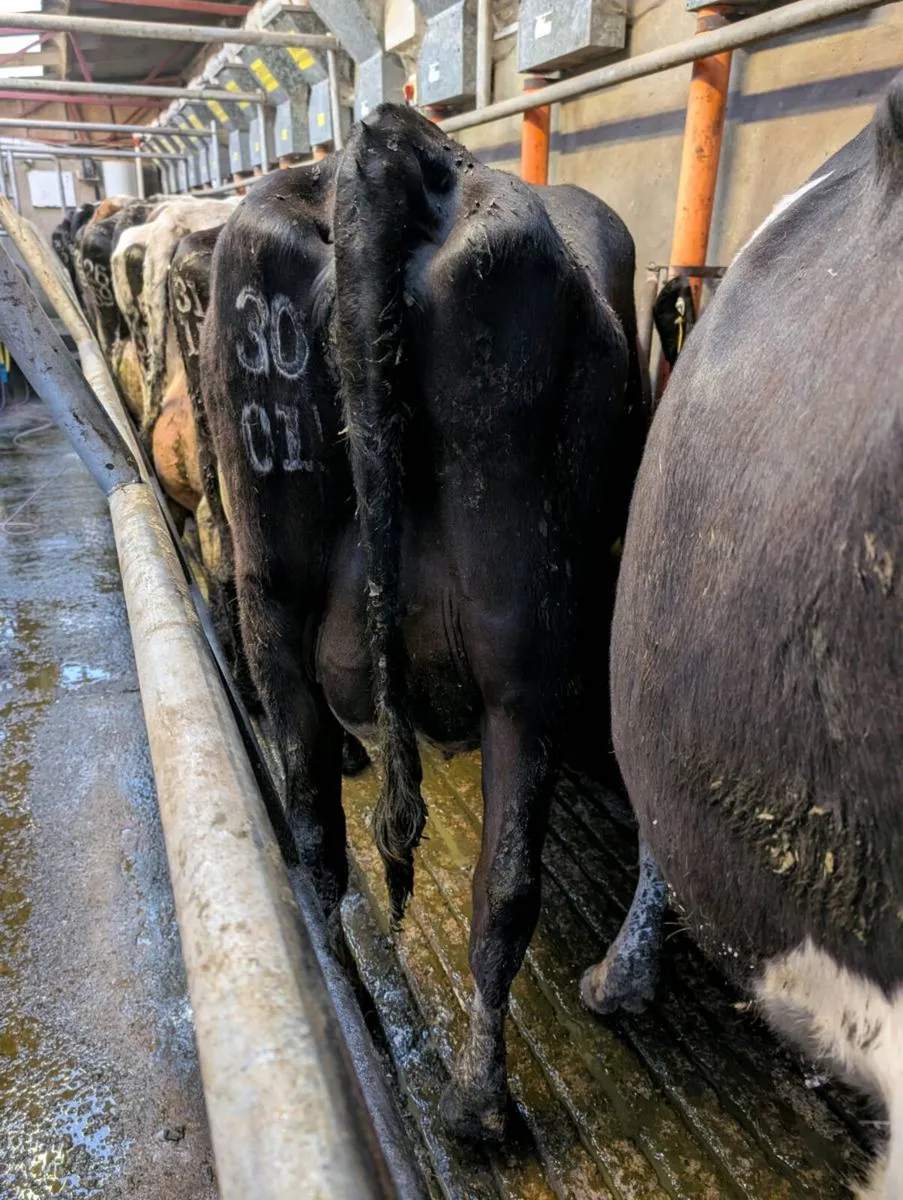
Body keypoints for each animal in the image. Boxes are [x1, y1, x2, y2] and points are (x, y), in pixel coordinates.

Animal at [201, 103, 648, 1143]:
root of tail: (384, 153)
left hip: (270, 583)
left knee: (316, 831)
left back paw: (351, 1018)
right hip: (523, 639)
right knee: (504, 890)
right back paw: (478, 1105)